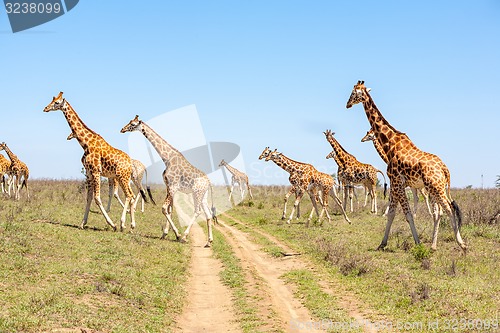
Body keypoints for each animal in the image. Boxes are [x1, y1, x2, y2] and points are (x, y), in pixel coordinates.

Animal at [43, 91, 141, 231]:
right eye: (52, 99)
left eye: (56, 102)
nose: (45, 108)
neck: (85, 144)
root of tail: (129, 163)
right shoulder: (89, 173)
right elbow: (88, 198)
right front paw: (82, 223)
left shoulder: (95, 171)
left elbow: (97, 198)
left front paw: (112, 224)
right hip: (124, 178)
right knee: (131, 195)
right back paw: (132, 225)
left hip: (122, 177)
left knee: (128, 195)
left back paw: (122, 224)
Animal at [121, 114, 217, 246]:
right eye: (130, 121)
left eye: (133, 124)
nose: (122, 129)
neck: (167, 158)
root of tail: (209, 182)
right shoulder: (169, 187)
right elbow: (170, 209)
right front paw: (166, 234)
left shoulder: (173, 187)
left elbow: (163, 209)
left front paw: (177, 234)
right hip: (203, 195)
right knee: (208, 215)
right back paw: (209, 241)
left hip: (196, 193)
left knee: (197, 211)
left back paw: (185, 236)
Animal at [346, 80, 466, 250]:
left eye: (353, 93)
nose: (347, 104)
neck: (389, 144)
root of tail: (445, 168)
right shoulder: (398, 183)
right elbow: (392, 213)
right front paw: (382, 244)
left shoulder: (396, 181)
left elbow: (407, 214)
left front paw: (417, 242)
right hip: (436, 187)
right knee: (441, 211)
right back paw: (435, 245)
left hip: (435, 187)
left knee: (448, 208)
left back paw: (461, 244)